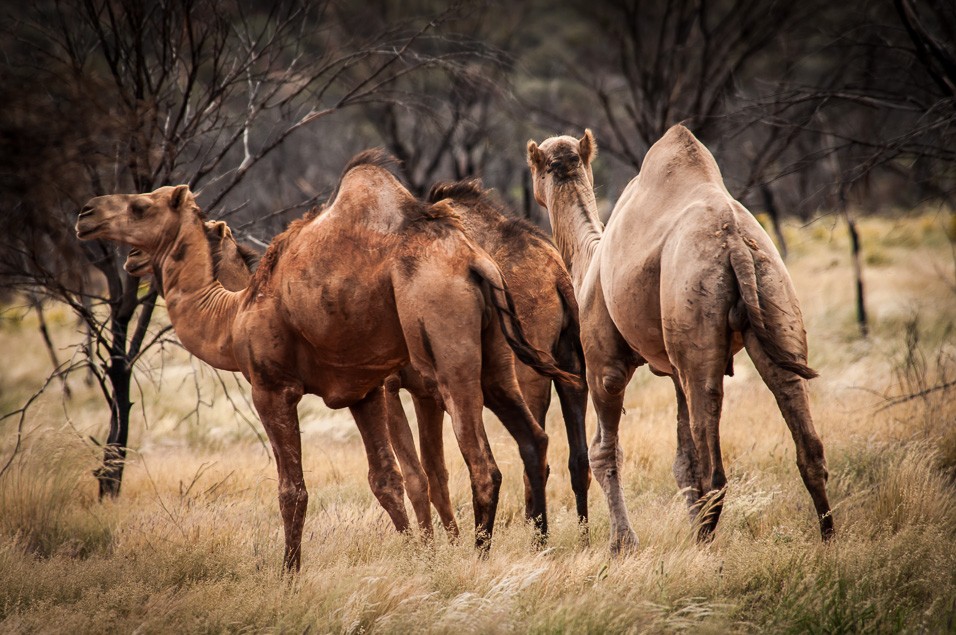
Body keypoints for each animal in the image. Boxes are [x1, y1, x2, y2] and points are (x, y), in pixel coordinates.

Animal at [382, 178, 592, 536]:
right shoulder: (424, 392)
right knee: (576, 457)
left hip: (524, 373)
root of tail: (556, 273)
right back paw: (580, 537)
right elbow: (434, 471)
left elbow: (413, 476)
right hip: (568, 364)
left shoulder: (389, 385)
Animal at [528, 124, 832, 552]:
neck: (587, 260)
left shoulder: (604, 364)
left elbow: (605, 451)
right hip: (773, 296)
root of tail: (734, 242)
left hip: (696, 307)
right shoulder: (672, 370)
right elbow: (681, 461)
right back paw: (828, 538)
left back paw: (705, 547)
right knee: (802, 426)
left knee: (714, 468)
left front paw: (622, 544)